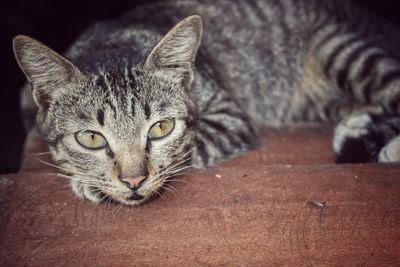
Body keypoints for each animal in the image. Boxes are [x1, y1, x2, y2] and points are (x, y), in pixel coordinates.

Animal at [11, 0, 400, 207]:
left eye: (161, 128)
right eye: (91, 138)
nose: (134, 181)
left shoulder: (231, 118)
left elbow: (192, 147)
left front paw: (90, 183)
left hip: (343, 51)